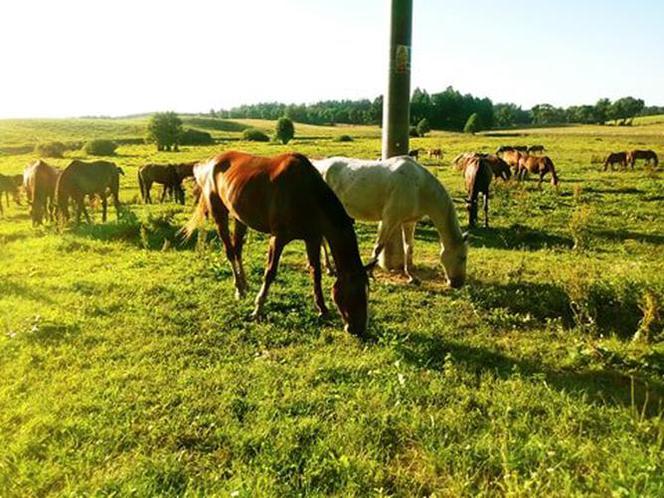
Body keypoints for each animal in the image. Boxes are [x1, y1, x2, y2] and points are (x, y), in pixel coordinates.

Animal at [182, 152, 374, 336]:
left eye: (367, 292)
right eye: (355, 293)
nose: (358, 329)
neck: (305, 193)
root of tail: (210, 162)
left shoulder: (312, 238)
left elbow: (316, 272)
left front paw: (322, 309)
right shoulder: (278, 238)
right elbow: (270, 273)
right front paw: (257, 309)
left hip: (239, 217)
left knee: (237, 250)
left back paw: (244, 285)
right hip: (220, 215)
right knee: (229, 251)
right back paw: (238, 288)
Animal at [314, 156, 470, 288]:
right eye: (462, 257)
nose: (458, 284)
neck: (418, 187)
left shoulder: (408, 222)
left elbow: (408, 248)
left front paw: (411, 277)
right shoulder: (389, 220)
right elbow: (379, 247)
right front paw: (370, 274)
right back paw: (329, 268)